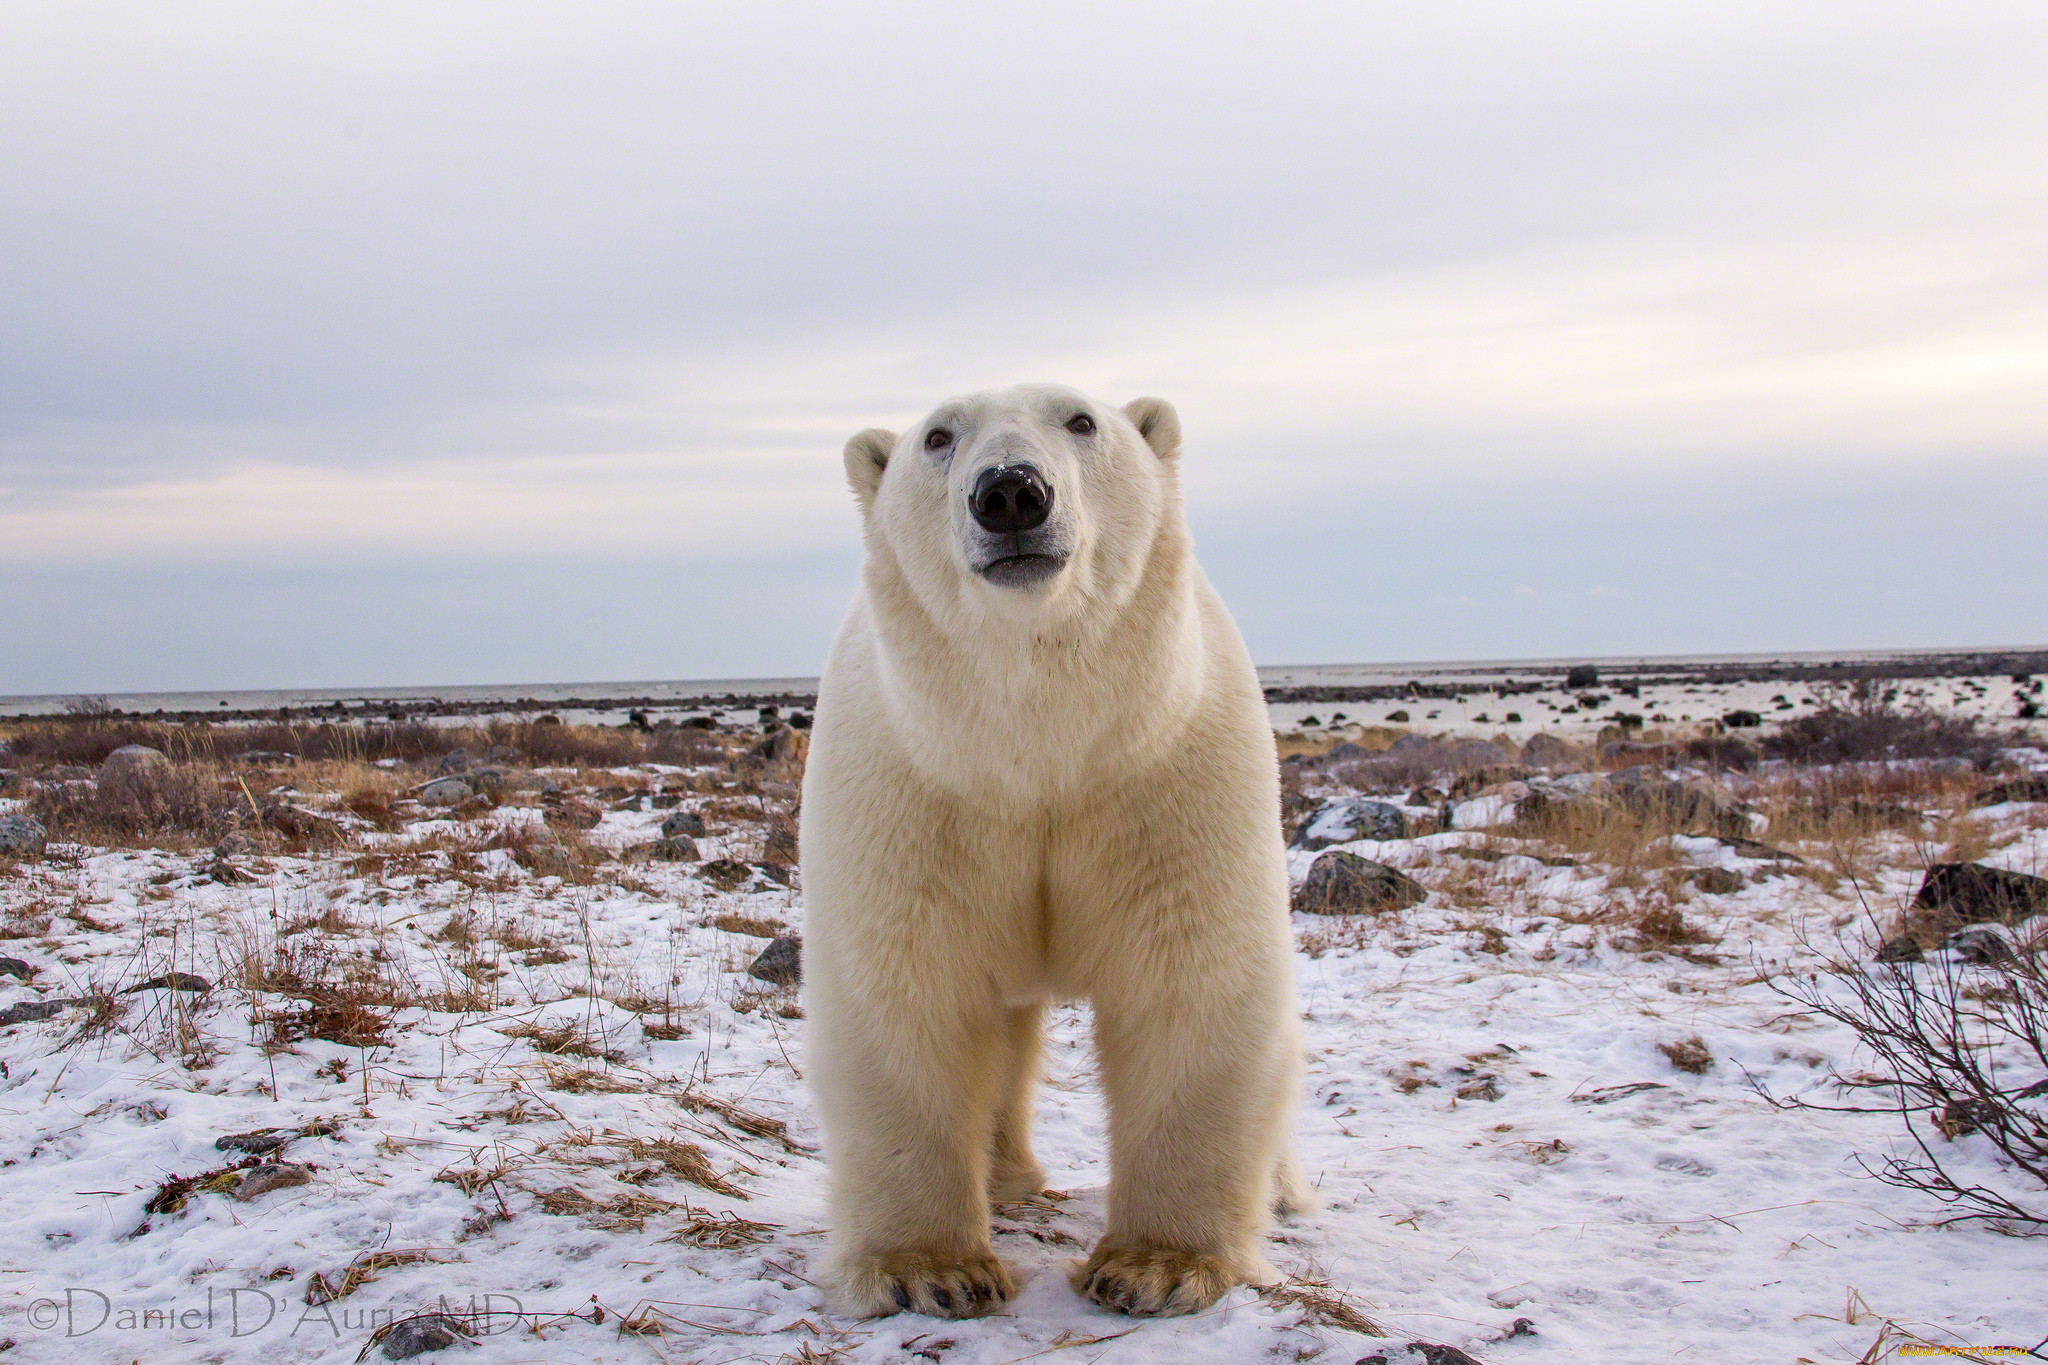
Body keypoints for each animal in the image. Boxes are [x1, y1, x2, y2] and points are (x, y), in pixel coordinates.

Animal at [790, 384, 1302, 1326]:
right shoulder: (917, 791)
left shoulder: (1165, 776)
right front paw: (930, 1269)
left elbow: (1188, 982)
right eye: (938, 437)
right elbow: (911, 990)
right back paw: (1005, 1177)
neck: (1038, 748)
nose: (1011, 493)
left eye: (1082, 420)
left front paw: (1157, 1266)